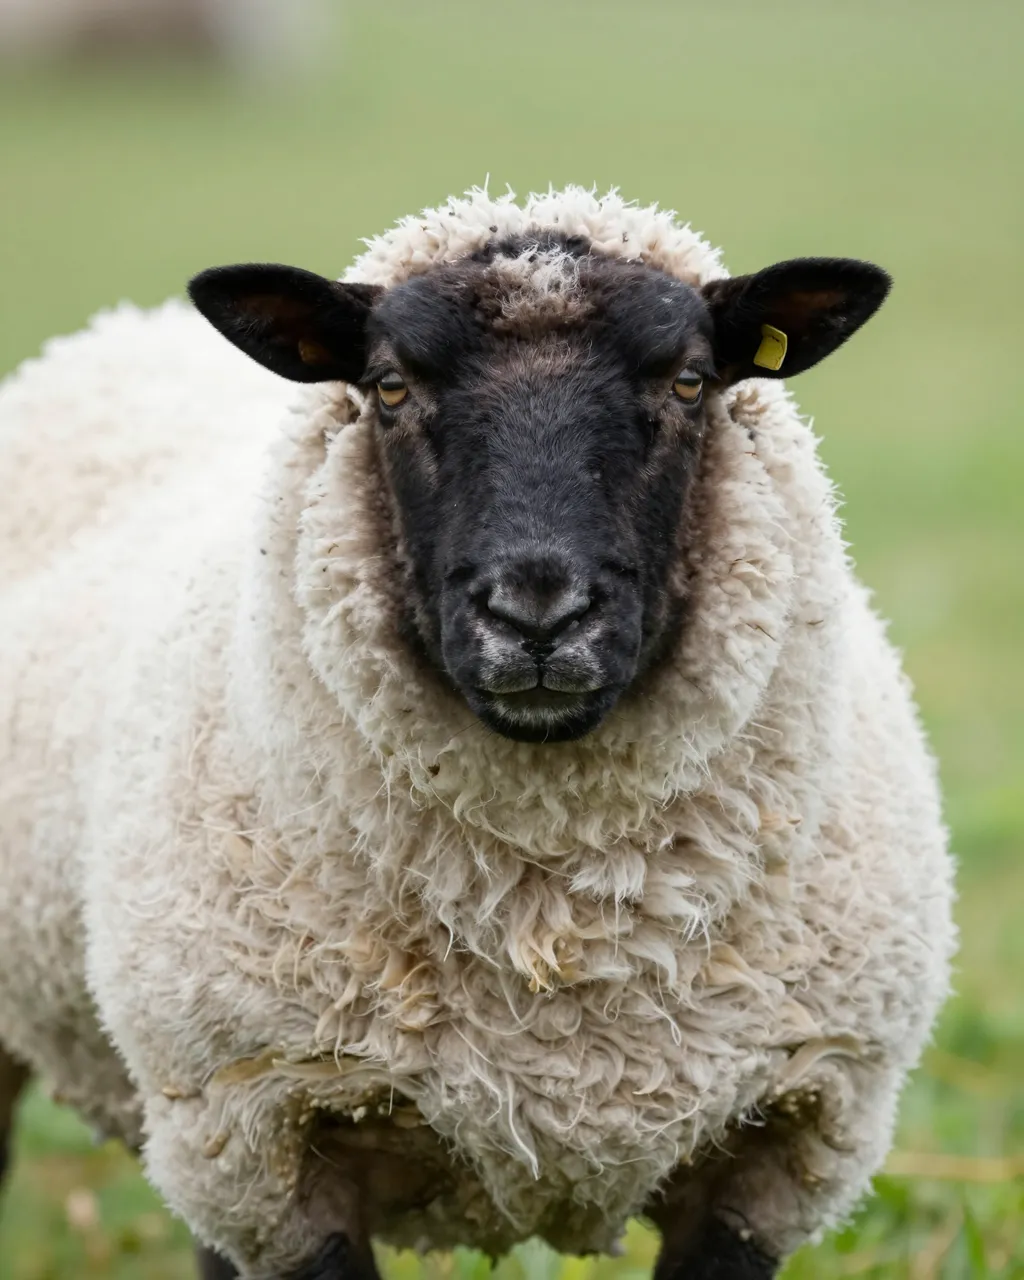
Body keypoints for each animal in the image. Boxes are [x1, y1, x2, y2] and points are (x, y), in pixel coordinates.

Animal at [0, 186, 956, 1280]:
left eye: (689, 381)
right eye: (388, 385)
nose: (537, 613)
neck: (551, 929)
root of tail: (123, 327)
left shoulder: (782, 1140)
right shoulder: (266, 1139)